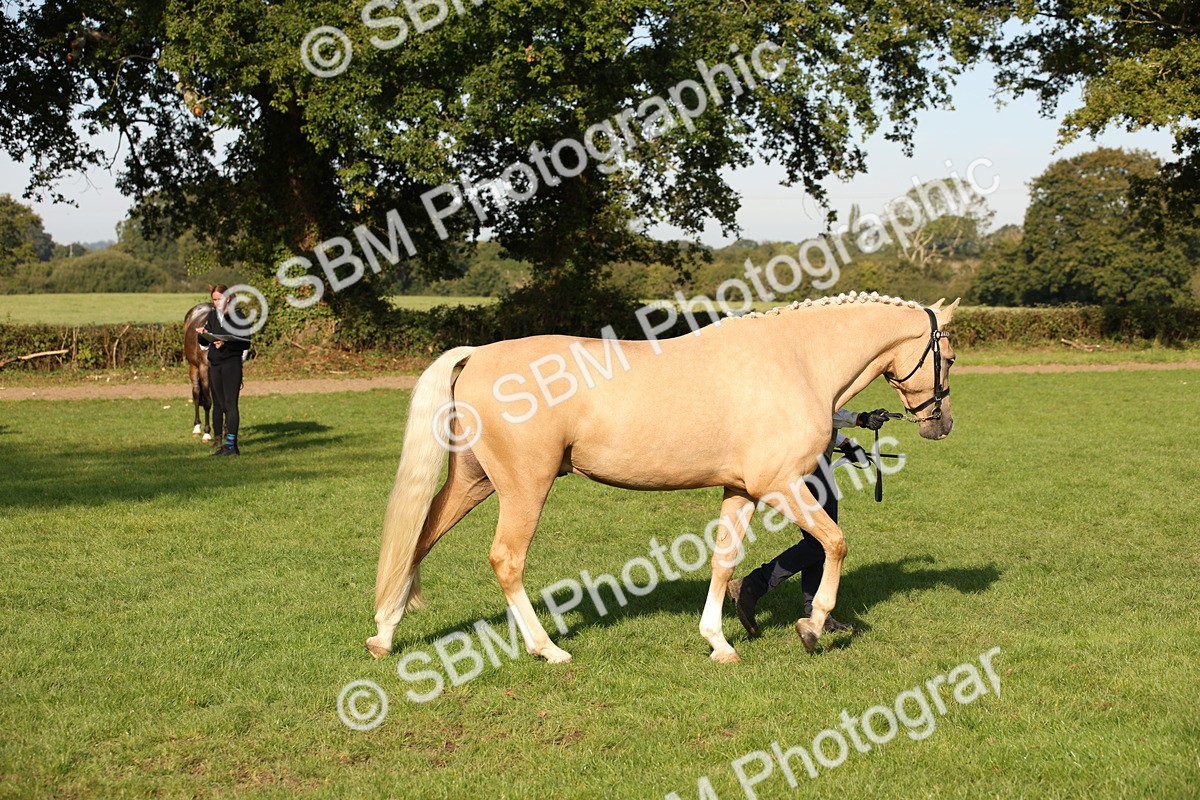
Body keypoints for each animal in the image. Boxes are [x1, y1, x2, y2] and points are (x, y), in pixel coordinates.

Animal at [367, 292, 959, 664]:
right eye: (949, 357)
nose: (942, 424)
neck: (795, 360)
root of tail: (477, 356)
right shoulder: (782, 486)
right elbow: (834, 544)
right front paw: (813, 627)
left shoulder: (742, 491)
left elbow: (724, 561)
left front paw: (719, 642)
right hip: (524, 487)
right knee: (506, 560)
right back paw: (547, 649)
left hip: (474, 480)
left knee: (419, 539)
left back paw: (384, 635)